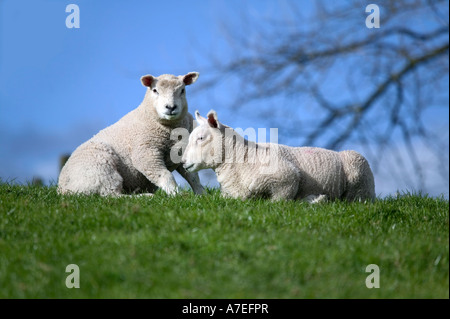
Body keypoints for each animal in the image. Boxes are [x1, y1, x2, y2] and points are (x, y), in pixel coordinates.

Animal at [57, 73, 204, 198]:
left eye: (182, 90)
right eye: (155, 90)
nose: (171, 107)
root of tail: (62, 189)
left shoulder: (183, 151)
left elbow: (193, 177)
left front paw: (202, 195)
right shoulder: (146, 153)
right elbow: (165, 175)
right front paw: (176, 195)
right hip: (100, 170)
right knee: (111, 195)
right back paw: (145, 197)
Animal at [181, 111, 374, 204]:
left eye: (201, 138)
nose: (183, 162)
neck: (242, 158)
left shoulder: (287, 177)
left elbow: (277, 202)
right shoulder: (228, 195)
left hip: (359, 180)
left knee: (354, 201)